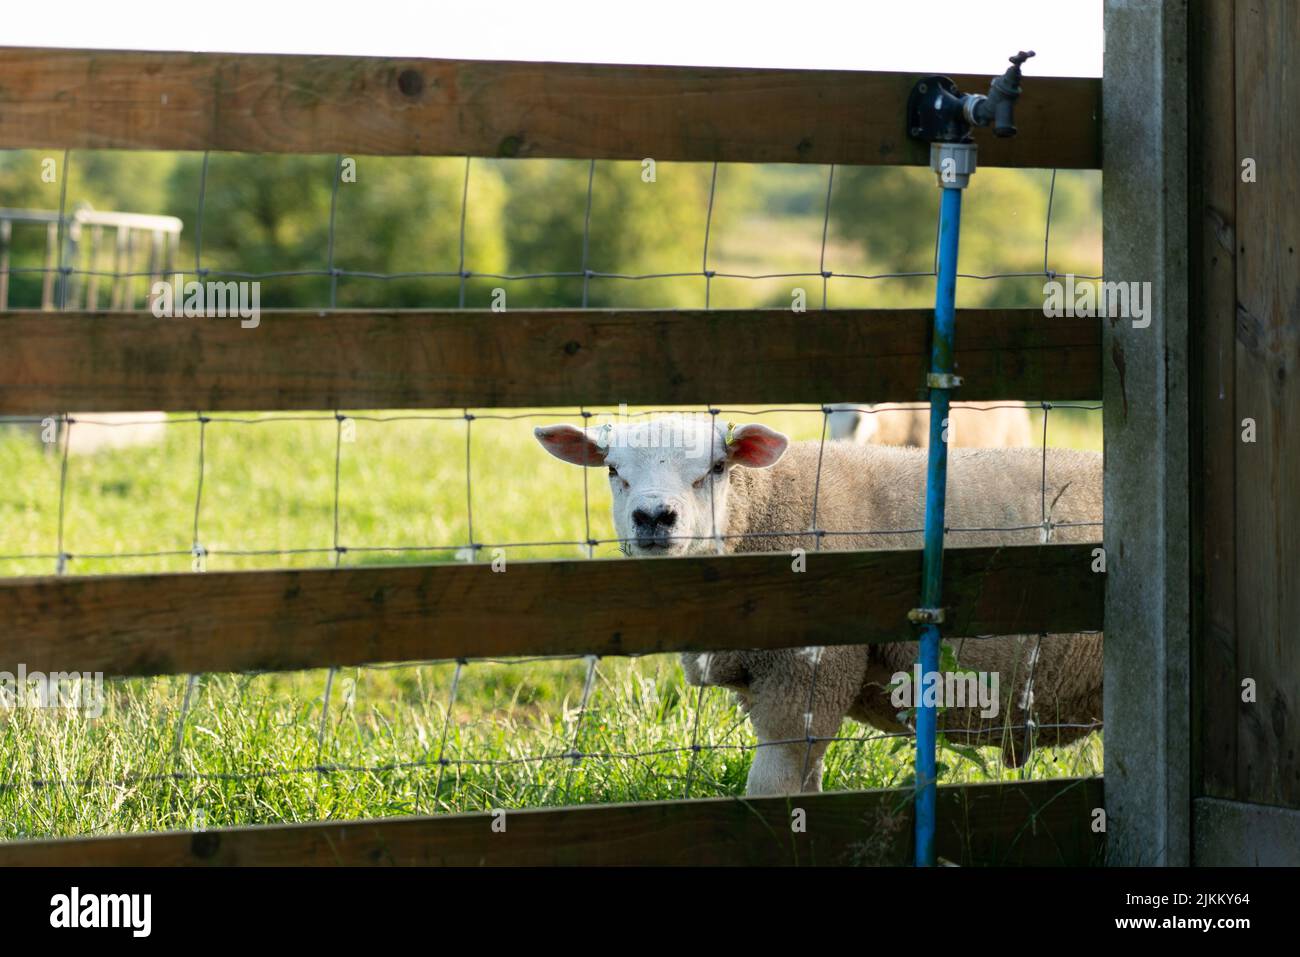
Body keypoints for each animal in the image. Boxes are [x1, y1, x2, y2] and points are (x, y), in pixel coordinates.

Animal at [533, 416, 1102, 795]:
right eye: (612, 470)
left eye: (716, 468)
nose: (654, 516)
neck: (759, 515)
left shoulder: (805, 674)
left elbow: (772, 789)